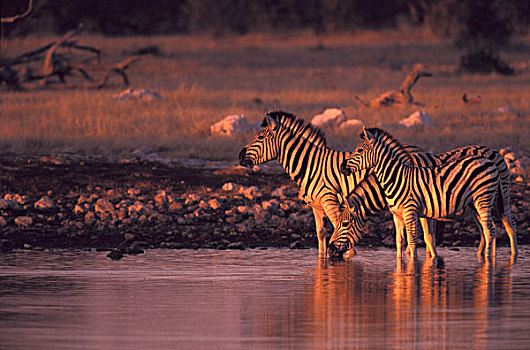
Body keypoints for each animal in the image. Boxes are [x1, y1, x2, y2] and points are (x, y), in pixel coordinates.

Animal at [338, 127, 516, 258]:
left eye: (359, 151)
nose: (342, 167)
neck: (396, 177)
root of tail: (491, 156)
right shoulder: (405, 214)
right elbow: (405, 241)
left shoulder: (415, 211)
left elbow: (419, 240)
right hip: (475, 205)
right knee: (488, 230)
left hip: (491, 198)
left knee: (500, 227)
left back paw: (494, 260)